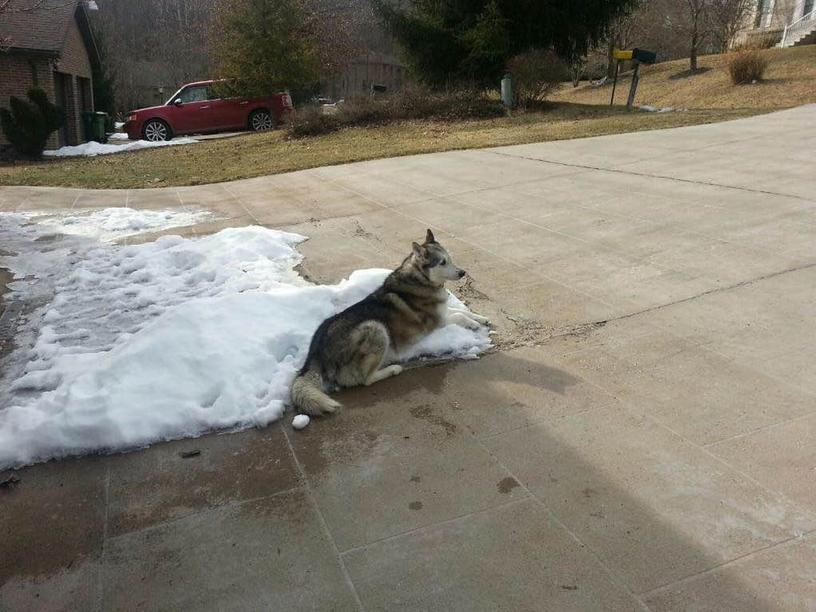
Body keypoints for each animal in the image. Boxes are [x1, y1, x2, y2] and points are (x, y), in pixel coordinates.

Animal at [290, 230, 488, 416]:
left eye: (450, 259)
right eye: (442, 262)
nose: (462, 272)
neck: (421, 279)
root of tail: (315, 354)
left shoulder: (443, 312)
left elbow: (462, 311)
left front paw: (481, 318)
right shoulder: (438, 321)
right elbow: (459, 316)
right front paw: (473, 324)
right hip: (376, 328)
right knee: (365, 380)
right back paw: (392, 369)